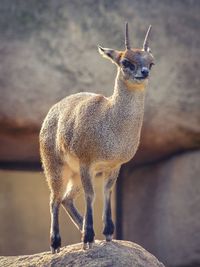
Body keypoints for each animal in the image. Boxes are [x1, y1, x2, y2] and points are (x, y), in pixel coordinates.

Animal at [39, 22, 155, 253]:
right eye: (125, 61)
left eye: (151, 62)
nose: (144, 72)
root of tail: (51, 113)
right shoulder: (87, 163)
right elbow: (91, 195)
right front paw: (90, 238)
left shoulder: (114, 166)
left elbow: (107, 192)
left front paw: (107, 234)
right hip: (55, 167)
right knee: (54, 198)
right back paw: (56, 244)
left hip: (74, 174)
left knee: (66, 199)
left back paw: (84, 230)